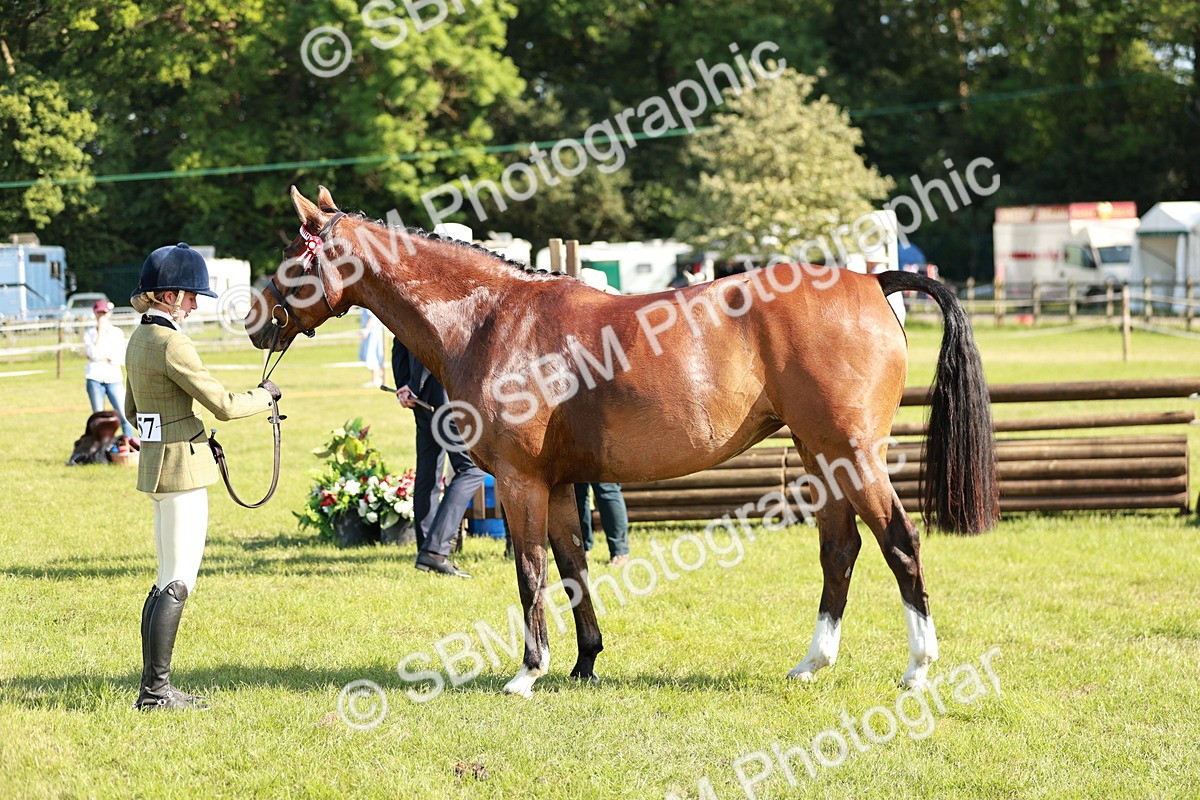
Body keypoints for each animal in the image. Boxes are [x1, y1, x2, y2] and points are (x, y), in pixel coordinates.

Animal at [248, 186, 998, 695]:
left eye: (292, 256)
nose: (255, 321)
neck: (493, 318)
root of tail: (872, 280)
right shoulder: (558, 485)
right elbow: (573, 569)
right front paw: (584, 663)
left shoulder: (520, 481)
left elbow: (530, 572)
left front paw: (528, 672)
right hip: (823, 458)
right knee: (840, 550)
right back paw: (812, 662)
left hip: (850, 453)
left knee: (900, 541)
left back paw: (918, 668)